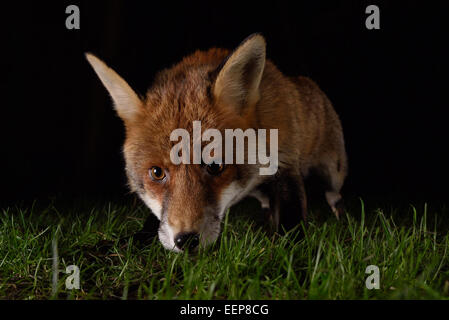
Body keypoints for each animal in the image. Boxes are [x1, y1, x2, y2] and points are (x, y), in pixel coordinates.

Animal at [86, 33, 348, 252]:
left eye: (215, 166)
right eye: (157, 172)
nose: (186, 240)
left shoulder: (285, 164)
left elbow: (291, 222)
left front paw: (292, 252)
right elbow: (155, 223)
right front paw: (117, 245)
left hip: (333, 173)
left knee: (334, 196)